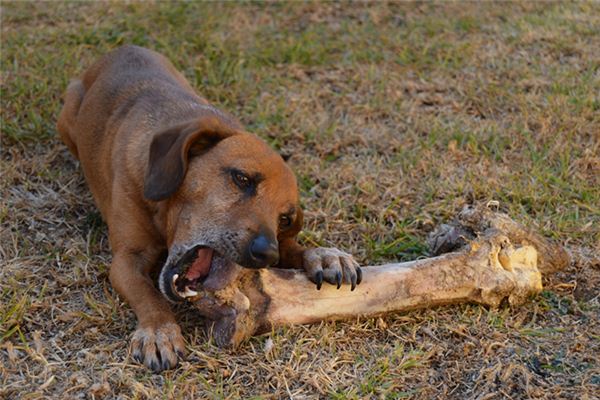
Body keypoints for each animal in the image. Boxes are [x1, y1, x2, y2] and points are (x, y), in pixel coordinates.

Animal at [57, 46, 360, 372]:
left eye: (284, 219)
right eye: (242, 179)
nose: (268, 254)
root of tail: (121, 49)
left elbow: (295, 248)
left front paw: (324, 255)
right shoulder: (126, 260)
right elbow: (149, 294)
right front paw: (159, 330)